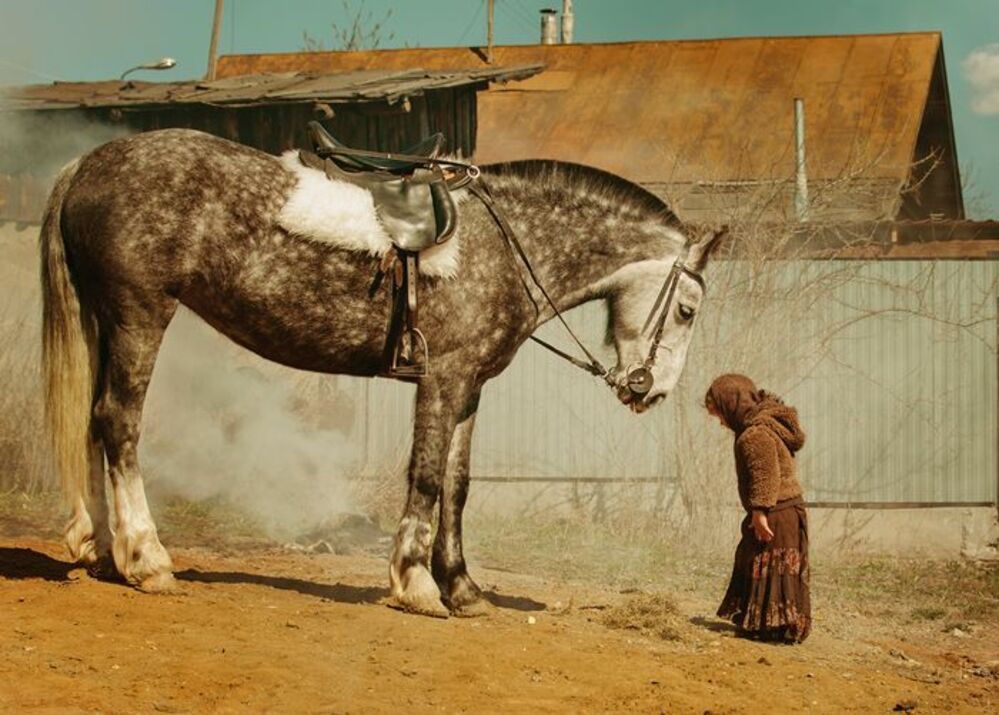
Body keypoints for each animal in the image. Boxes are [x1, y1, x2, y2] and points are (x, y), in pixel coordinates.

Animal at [40, 128, 723, 617]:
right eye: (688, 309)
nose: (651, 390)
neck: (506, 246)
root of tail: (86, 165)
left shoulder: (468, 389)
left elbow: (458, 484)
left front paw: (464, 589)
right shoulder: (442, 380)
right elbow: (425, 477)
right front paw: (417, 584)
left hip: (104, 320)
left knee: (91, 424)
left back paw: (101, 550)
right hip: (139, 314)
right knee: (119, 423)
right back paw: (146, 557)